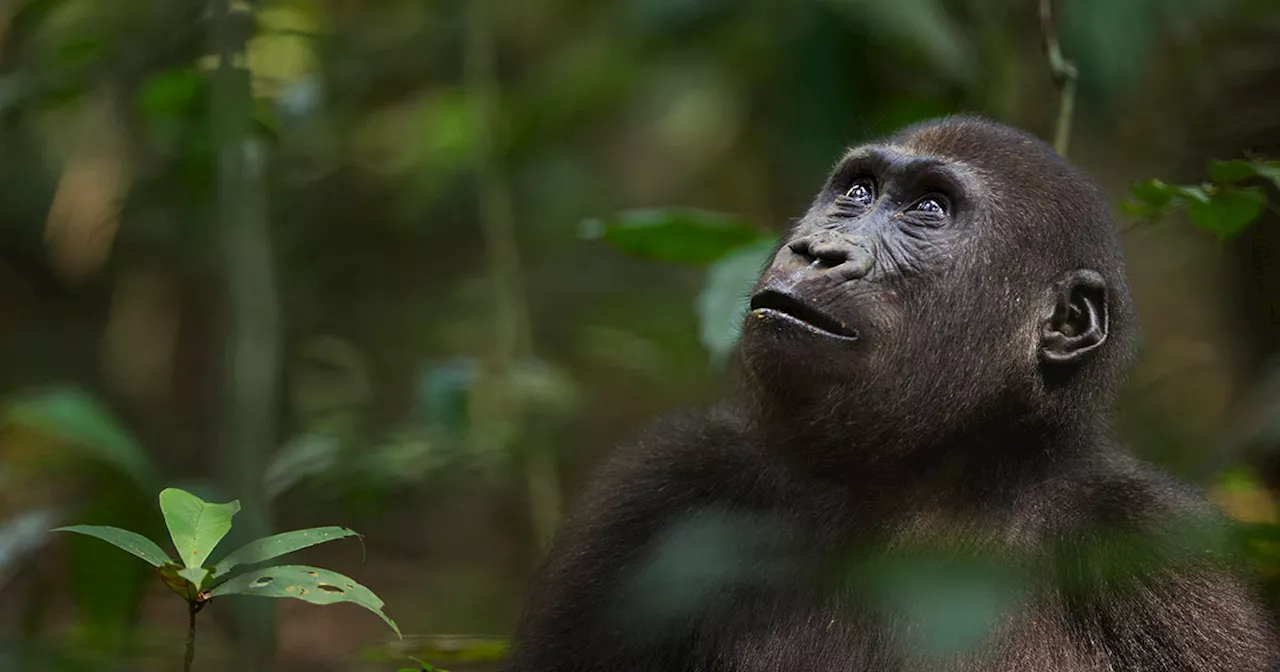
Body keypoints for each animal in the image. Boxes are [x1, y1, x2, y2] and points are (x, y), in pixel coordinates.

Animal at [504, 117, 1274, 670]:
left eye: (930, 208)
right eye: (857, 192)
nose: (817, 251)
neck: (933, 477)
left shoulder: (1162, 558)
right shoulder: (660, 490)